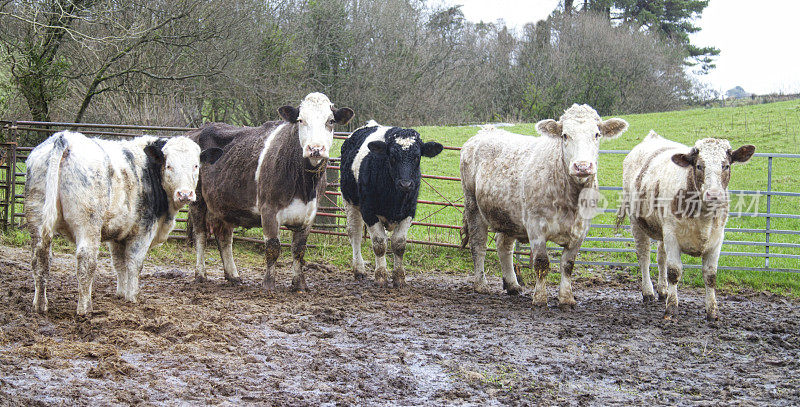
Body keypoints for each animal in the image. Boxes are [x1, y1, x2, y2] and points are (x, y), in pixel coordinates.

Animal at [25, 131, 222, 316]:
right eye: (169, 165)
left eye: (195, 165)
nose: (185, 194)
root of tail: (64, 138)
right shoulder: (143, 230)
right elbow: (134, 263)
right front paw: (132, 296)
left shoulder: (117, 233)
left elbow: (119, 263)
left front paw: (121, 293)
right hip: (88, 225)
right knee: (85, 262)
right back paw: (85, 308)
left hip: (38, 218)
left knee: (40, 258)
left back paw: (40, 305)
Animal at [188, 92, 354, 290]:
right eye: (300, 120)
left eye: (330, 121)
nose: (315, 149)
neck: (304, 186)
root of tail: (198, 130)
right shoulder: (268, 209)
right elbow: (273, 248)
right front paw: (268, 284)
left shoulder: (309, 214)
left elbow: (299, 250)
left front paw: (299, 284)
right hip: (198, 200)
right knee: (200, 235)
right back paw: (200, 274)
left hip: (224, 204)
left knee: (224, 237)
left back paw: (233, 276)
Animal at [340, 120, 444, 286]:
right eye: (393, 157)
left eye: (417, 157)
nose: (406, 184)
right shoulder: (369, 211)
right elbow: (379, 244)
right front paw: (381, 275)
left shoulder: (409, 211)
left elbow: (399, 244)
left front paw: (399, 277)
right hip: (349, 200)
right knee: (355, 233)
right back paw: (359, 269)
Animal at [460, 105, 628, 310]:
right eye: (565, 135)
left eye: (597, 134)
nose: (582, 166)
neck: (570, 200)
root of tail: (485, 131)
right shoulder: (535, 226)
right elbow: (541, 263)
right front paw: (540, 298)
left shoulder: (581, 230)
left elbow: (568, 265)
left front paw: (566, 298)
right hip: (473, 206)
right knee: (478, 244)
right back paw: (481, 284)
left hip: (508, 215)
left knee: (503, 246)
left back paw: (512, 284)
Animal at [620, 132, 756, 320]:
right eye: (699, 166)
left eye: (726, 166)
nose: (714, 195)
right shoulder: (672, 236)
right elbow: (674, 272)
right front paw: (671, 308)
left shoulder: (716, 239)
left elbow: (710, 276)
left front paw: (712, 312)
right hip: (637, 223)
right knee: (644, 257)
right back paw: (648, 292)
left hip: (662, 230)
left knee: (661, 257)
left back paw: (663, 291)